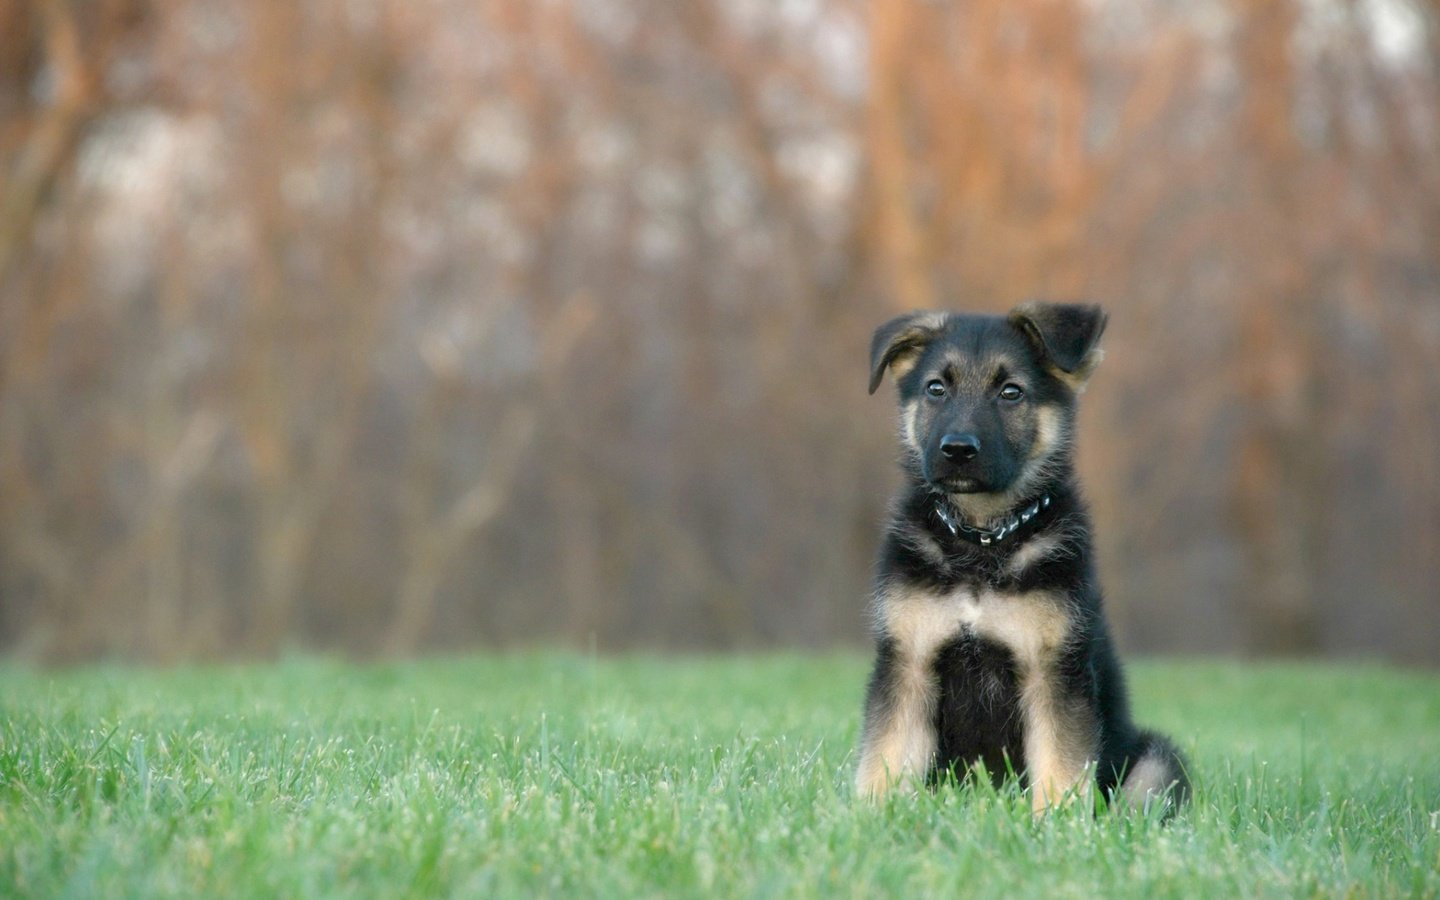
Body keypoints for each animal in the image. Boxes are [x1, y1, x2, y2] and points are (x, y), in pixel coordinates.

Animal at [858, 302, 1186, 812]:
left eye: (1011, 392)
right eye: (935, 388)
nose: (957, 450)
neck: (982, 539)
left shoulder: (1051, 670)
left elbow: (1060, 767)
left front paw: (1055, 823)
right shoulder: (909, 662)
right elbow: (885, 756)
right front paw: (868, 817)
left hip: (1155, 761)